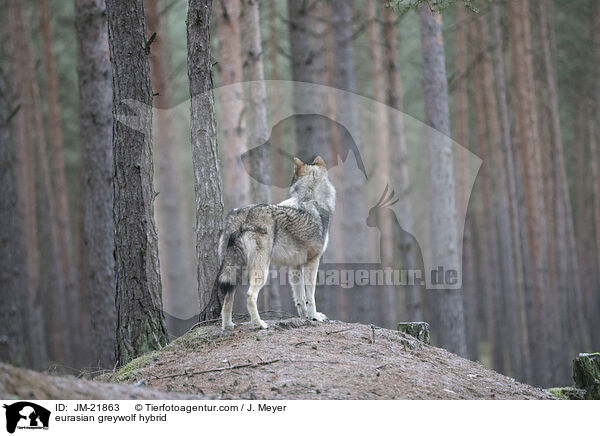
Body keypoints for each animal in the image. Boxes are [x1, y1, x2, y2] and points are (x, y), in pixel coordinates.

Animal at [217, 155, 338, 328]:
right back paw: (259, 324)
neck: (311, 199)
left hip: (234, 271)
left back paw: (228, 326)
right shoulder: (312, 262)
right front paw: (315, 316)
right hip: (261, 271)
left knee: (228, 298)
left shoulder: (295, 266)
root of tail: (241, 213)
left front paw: (305, 317)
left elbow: (300, 298)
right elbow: (310, 296)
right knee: (250, 295)